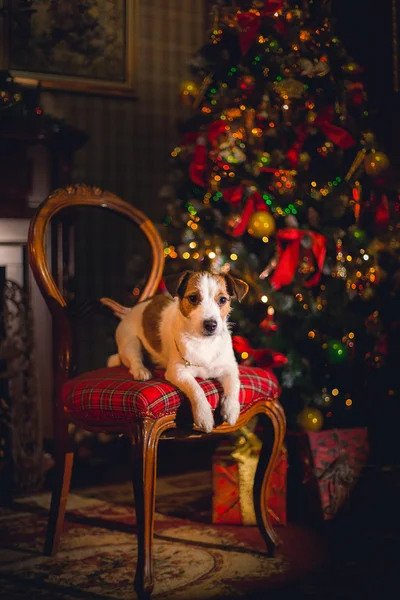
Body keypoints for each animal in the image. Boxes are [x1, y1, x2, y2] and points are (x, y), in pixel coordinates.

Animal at [101, 270, 247, 432]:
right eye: (193, 298)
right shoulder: (178, 372)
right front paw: (204, 416)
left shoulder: (230, 368)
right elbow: (196, 389)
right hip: (131, 342)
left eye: (222, 299)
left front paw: (231, 409)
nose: (211, 325)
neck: (203, 343)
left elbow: (234, 385)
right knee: (134, 360)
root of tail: (130, 310)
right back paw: (141, 371)